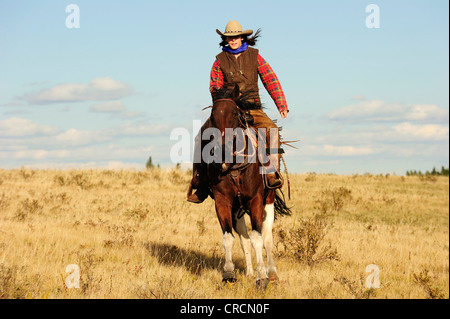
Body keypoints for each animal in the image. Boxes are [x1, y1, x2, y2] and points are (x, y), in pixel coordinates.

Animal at [201, 85, 292, 290]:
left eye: (235, 113)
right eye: (212, 114)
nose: (222, 145)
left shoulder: (255, 200)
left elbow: (258, 238)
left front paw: (262, 277)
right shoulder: (222, 202)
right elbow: (229, 238)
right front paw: (229, 274)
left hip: (268, 201)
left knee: (267, 237)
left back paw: (272, 274)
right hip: (237, 209)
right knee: (244, 238)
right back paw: (249, 274)